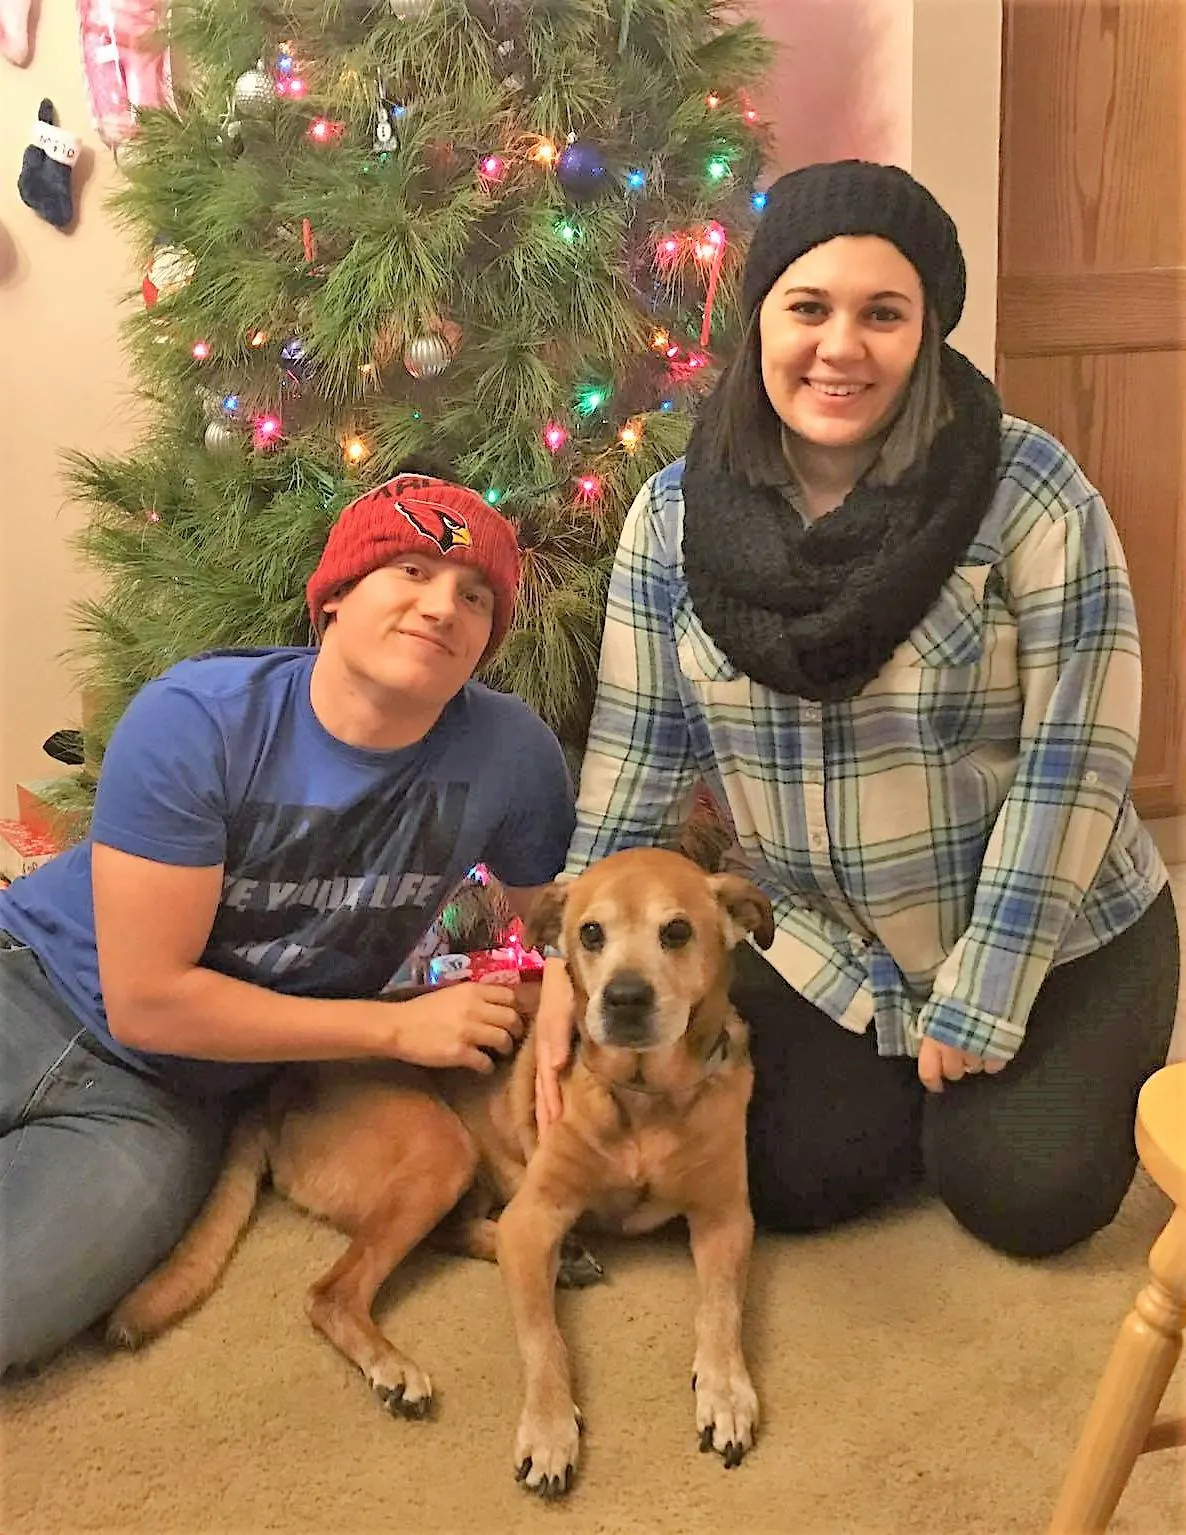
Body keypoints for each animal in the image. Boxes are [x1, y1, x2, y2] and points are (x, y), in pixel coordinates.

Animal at [106, 847, 773, 1492]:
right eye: (590, 933)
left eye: (677, 931)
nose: (625, 999)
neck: (644, 1097)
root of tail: (278, 1090)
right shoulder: (533, 1217)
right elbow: (544, 1341)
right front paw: (550, 1429)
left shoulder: (726, 1217)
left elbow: (722, 1308)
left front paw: (725, 1392)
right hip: (439, 1149)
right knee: (334, 1293)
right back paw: (397, 1366)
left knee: (450, 1234)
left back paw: (561, 1262)